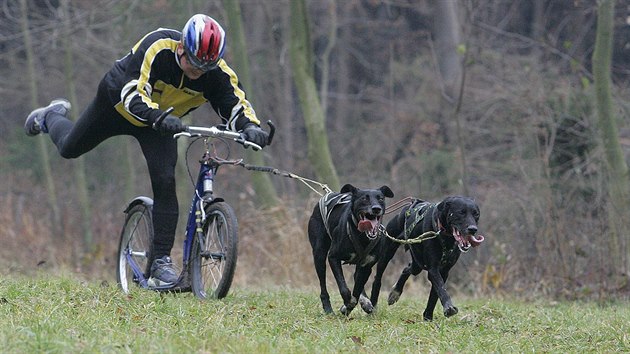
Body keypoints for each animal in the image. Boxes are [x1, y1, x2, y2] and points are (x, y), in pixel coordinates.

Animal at [308, 184, 392, 314]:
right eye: (364, 198)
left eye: (381, 198)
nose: (376, 208)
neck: (362, 236)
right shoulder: (333, 257)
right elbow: (343, 287)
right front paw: (348, 302)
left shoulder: (366, 265)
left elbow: (357, 289)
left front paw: (352, 305)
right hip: (319, 255)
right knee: (323, 285)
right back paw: (328, 309)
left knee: (357, 277)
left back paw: (365, 301)